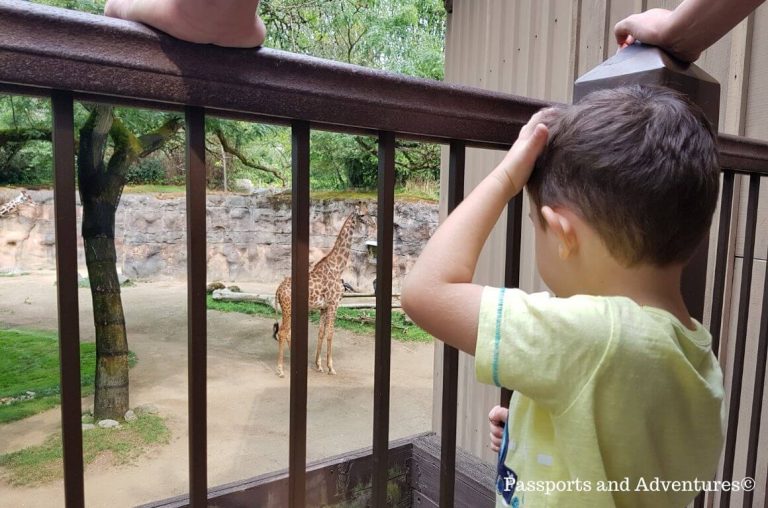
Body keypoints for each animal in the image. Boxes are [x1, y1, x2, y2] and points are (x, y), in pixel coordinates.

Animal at [274, 205, 370, 378]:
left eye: (370, 213)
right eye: (362, 215)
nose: (373, 224)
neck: (337, 266)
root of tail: (278, 290)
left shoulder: (323, 307)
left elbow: (321, 332)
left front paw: (319, 365)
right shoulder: (334, 304)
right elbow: (331, 333)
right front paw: (331, 367)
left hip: (289, 310)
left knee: (287, 332)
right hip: (288, 309)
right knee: (283, 332)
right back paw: (281, 370)